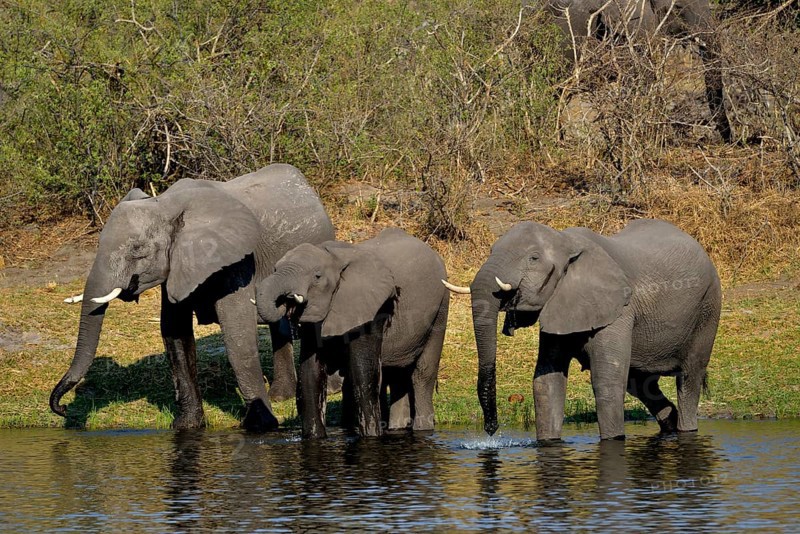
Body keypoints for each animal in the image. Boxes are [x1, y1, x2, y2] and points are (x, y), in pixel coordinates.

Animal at [51, 164, 335, 430]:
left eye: (138, 250)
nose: (62, 409)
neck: (165, 204)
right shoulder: (177, 266)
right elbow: (175, 334)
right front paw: (186, 427)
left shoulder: (237, 263)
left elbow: (238, 335)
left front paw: (260, 426)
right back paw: (280, 396)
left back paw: (330, 390)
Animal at [256, 228, 449, 439]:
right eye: (275, 268)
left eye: (317, 276)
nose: (286, 299)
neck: (335, 257)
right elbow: (310, 374)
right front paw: (315, 438)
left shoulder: (371, 308)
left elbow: (363, 374)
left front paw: (371, 438)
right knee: (396, 374)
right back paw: (397, 428)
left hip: (441, 306)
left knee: (422, 373)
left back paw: (423, 429)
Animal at [443, 219, 721, 441]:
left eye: (533, 258)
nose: (491, 430)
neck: (566, 243)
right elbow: (546, 382)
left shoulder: (618, 310)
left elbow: (607, 382)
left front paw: (612, 441)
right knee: (640, 382)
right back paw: (670, 423)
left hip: (708, 308)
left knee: (689, 377)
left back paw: (686, 429)